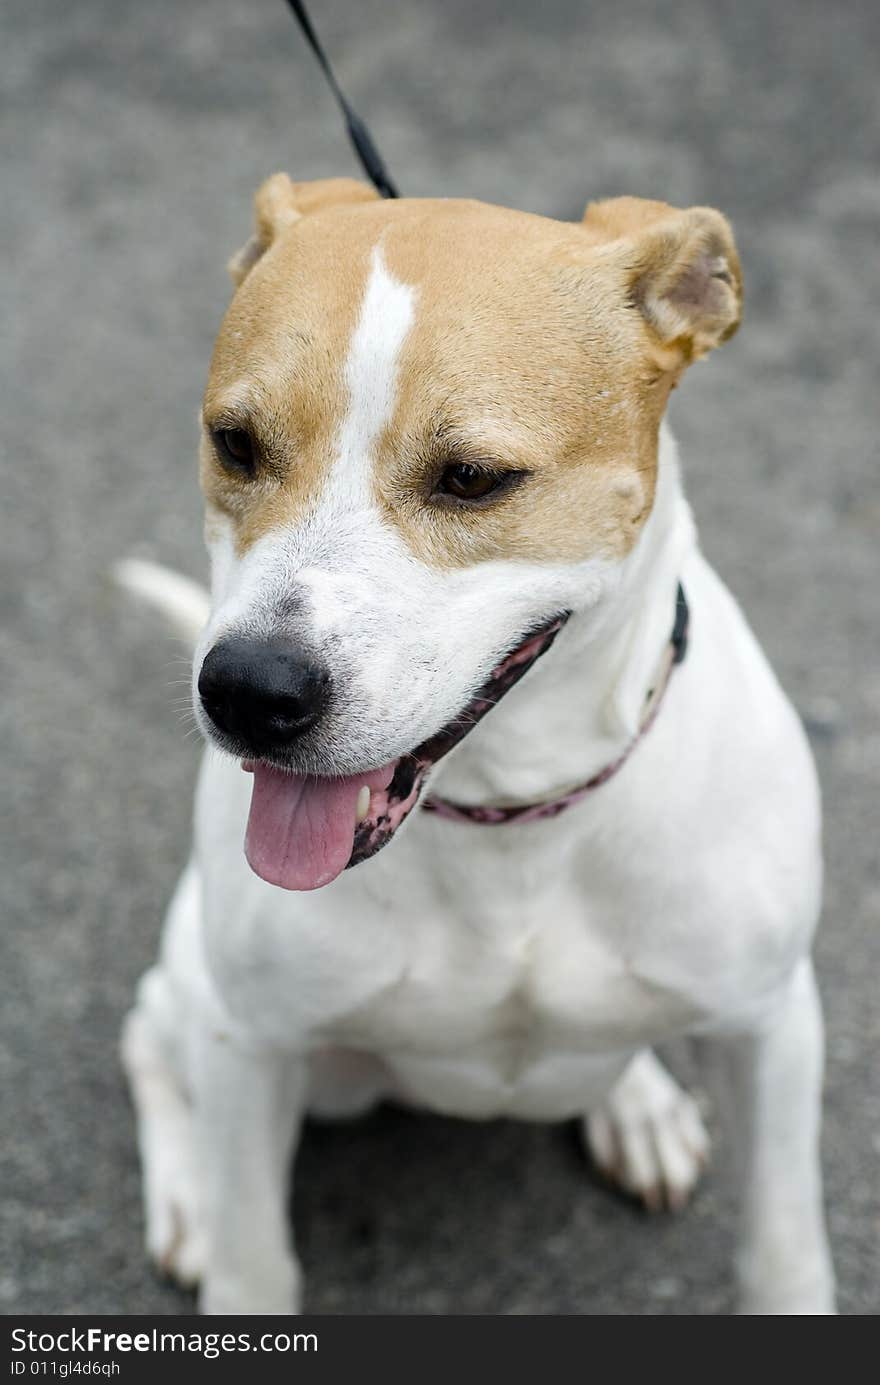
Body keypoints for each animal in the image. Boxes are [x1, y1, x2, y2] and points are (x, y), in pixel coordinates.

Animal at [120, 178, 837, 1312]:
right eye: (235, 443)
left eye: (472, 477)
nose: (248, 691)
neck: (513, 812)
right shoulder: (254, 1042)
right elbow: (251, 1258)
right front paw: (218, 1224)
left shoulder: (774, 1024)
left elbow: (783, 1248)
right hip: (237, 1014)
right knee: (151, 1032)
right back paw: (185, 1190)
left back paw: (637, 1100)